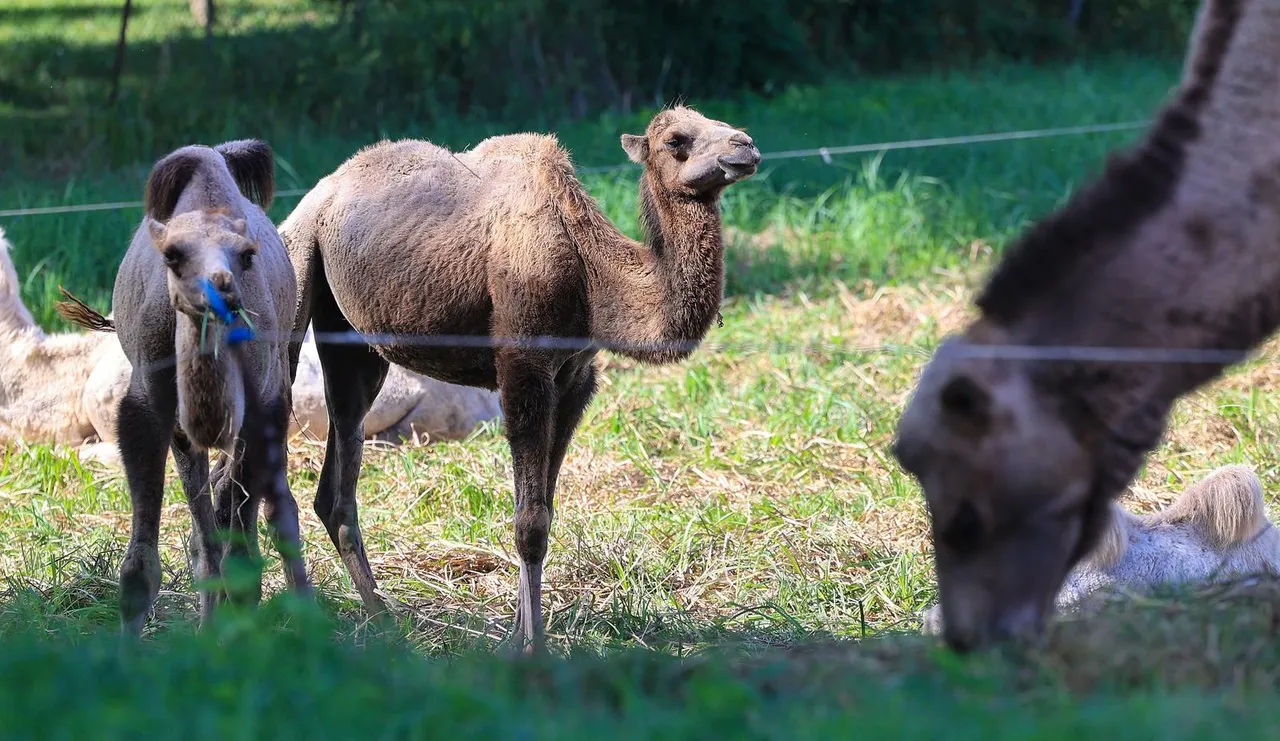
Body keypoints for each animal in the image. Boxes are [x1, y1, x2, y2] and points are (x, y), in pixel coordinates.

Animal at [83, 140, 312, 637]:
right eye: (172, 255)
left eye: (246, 254)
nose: (219, 289)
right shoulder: (149, 412)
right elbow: (146, 565)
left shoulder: (261, 410)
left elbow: (241, 554)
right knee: (209, 525)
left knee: (271, 509)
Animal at [280, 104, 757, 650]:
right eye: (677, 140)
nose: (745, 146)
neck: (588, 268)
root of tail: (315, 198)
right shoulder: (523, 369)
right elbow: (530, 522)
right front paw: (533, 648)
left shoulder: (575, 380)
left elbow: (543, 508)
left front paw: (516, 633)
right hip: (297, 271)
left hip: (355, 341)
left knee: (334, 487)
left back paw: (379, 621)